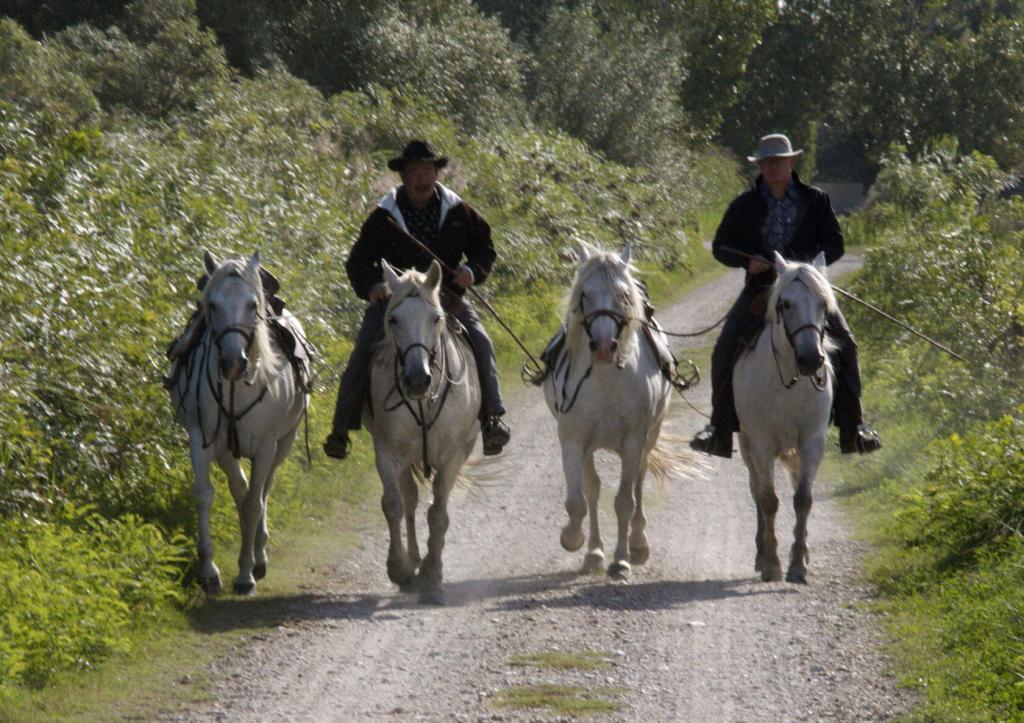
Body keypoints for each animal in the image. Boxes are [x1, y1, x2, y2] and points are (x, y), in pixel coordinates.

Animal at [165, 250, 303, 593]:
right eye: (212, 304)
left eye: (252, 305)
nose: (232, 363)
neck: (235, 388)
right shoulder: (202, 440)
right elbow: (205, 495)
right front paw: (209, 571)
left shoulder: (266, 446)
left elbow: (255, 503)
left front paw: (245, 574)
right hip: (227, 449)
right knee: (240, 488)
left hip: (284, 443)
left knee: (263, 491)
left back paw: (258, 555)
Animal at [366, 259, 481, 602]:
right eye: (393, 319)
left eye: (436, 318)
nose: (418, 380)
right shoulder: (387, 451)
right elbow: (392, 505)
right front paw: (400, 569)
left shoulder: (453, 456)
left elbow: (438, 513)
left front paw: (432, 575)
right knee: (409, 500)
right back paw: (413, 559)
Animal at [540, 241, 675, 581]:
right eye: (584, 294)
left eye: (623, 295)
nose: (603, 346)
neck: (604, 379)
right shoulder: (574, 442)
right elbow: (579, 500)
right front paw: (577, 542)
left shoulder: (633, 442)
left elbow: (625, 501)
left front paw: (621, 560)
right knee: (593, 489)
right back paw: (594, 551)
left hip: (648, 439)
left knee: (638, 483)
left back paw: (637, 544)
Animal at [737, 250, 839, 581]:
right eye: (785, 303)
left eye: (823, 304)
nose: (811, 359)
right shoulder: (761, 444)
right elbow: (768, 500)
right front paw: (771, 563)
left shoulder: (812, 442)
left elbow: (803, 499)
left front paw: (798, 564)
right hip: (746, 445)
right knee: (756, 490)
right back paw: (760, 555)